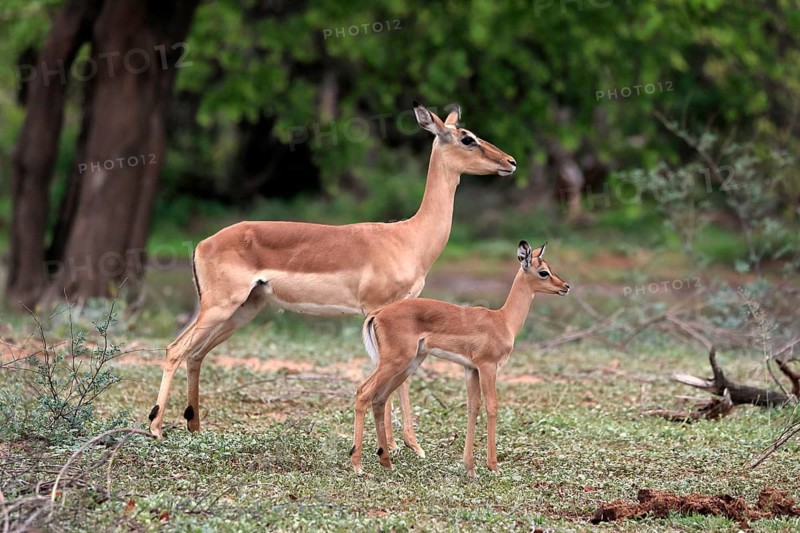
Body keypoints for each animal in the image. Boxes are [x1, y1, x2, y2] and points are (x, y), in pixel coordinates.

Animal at [147, 102, 517, 450]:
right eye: (467, 138)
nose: (510, 161)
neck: (408, 237)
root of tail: (202, 244)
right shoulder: (378, 311)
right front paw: (399, 446)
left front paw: (405, 445)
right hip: (220, 307)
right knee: (175, 349)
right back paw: (155, 428)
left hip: (243, 311)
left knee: (195, 354)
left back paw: (194, 427)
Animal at [350, 241, 570, 478]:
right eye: (543, 272)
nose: (565, 286)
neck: (503, 321)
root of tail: (378, 313)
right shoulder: (488, 367)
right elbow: (492, 406)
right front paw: (493, 466)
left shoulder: (470, 369)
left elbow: (473, 407)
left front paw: (470, 467)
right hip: (394, 363)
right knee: (363, 392)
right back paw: (358, 465)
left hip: (407, 366)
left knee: (379, 399)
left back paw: (386, 461)